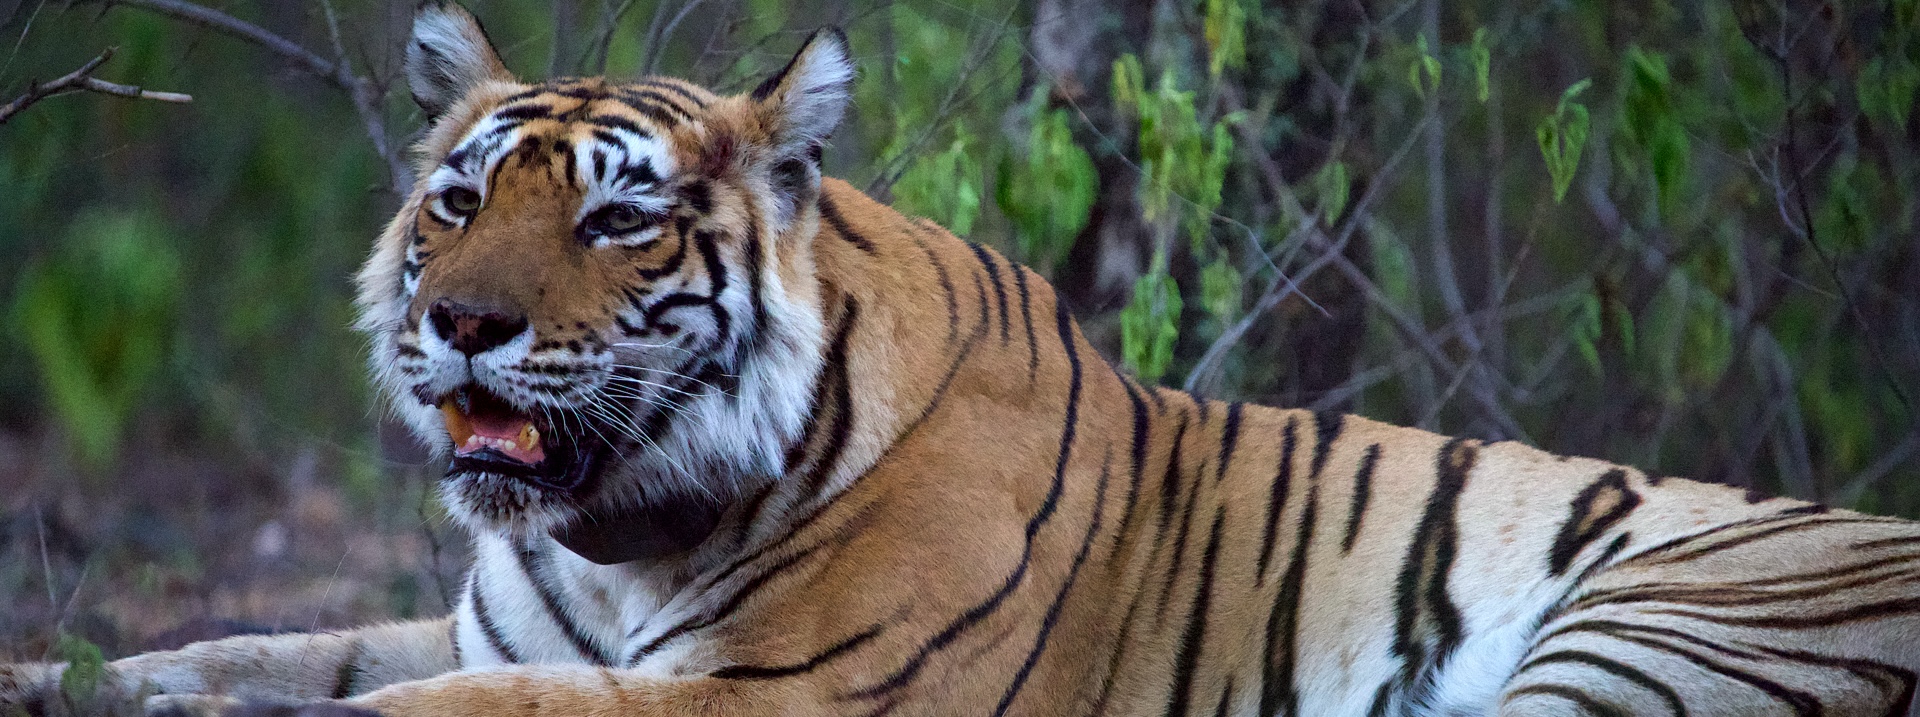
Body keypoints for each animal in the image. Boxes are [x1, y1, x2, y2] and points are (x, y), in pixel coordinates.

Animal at [3, 0, 1920, 711]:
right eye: (460, 200)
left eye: (618, 223)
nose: (460, 321)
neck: (627, 529)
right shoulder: (479, 615)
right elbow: (258, 645)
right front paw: (61, 676)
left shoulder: (786, 698)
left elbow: (437, 707)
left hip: (1660, 628)